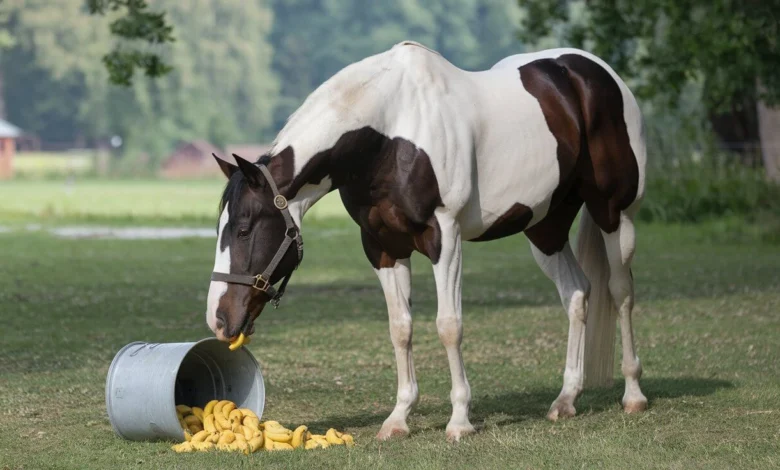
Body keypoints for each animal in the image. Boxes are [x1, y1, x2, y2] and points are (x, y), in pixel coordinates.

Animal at [204, 40, 648, 440]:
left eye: (244, 228)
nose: (219, 319)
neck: (391, 133)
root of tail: (593, 73)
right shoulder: (382, 247)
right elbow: (400, 328)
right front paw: (398, 419)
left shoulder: (444, 237)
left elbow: (449, 325)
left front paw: (459, 421)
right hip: (545, 227)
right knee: (577, 293)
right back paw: (566, 399)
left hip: (615, 214)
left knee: (621, 291)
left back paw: (633, 394)